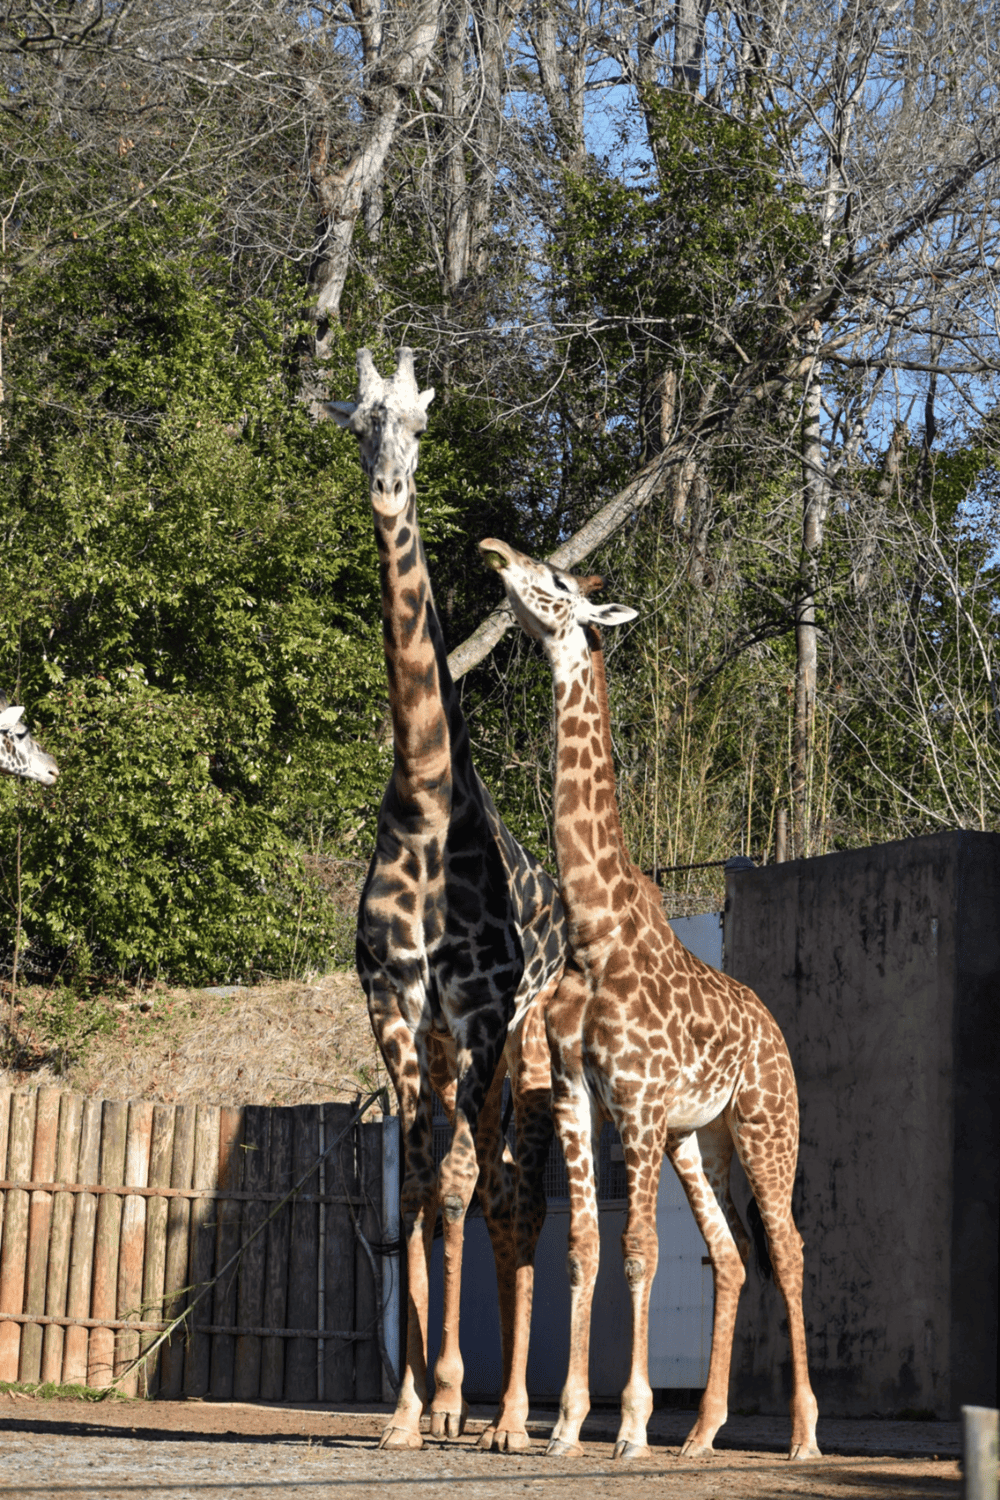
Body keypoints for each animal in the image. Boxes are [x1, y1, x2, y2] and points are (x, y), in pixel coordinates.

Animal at [479, 536, 820, 1464]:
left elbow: (638, 1248)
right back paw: (701, 1432)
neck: (594, 933)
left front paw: (628, 1424)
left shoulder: (632, 1099)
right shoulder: (575, 1094)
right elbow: (585, 1246)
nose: (494, 552)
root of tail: (775, 1031)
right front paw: (564, 1426)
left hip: (765, 1124)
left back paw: (804, 1435)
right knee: (732, 1257)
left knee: (788, 1246)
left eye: (559, 581)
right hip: (698, 1139)